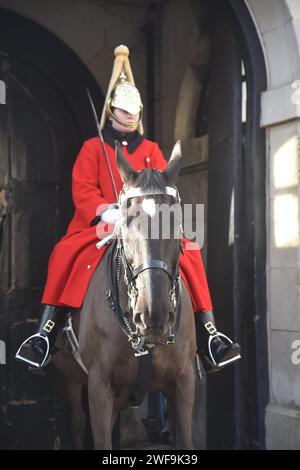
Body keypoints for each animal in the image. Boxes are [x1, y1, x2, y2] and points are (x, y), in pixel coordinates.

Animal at [52, 141, 197, 450]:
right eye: (126, 222)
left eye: (177, 222)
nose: (154, 315)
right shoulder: (99, 386)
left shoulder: (183, 382)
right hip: (69, 379)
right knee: (76, 423)